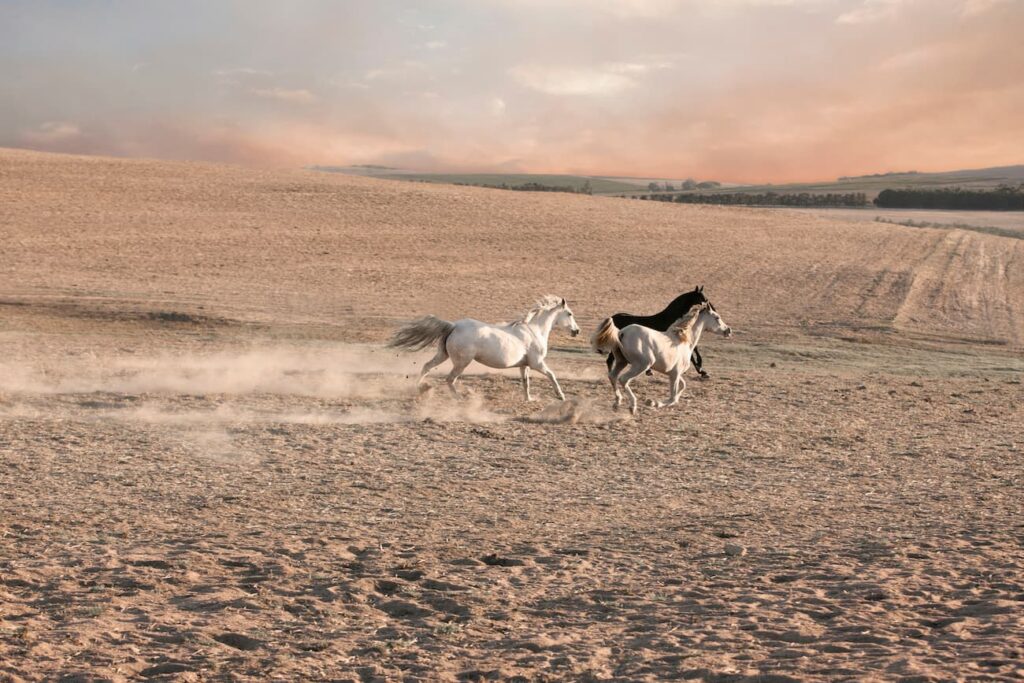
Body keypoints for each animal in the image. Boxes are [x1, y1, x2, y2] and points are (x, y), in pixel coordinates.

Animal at [388, 295, 581, 401]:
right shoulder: (537, 364)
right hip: (462, 362)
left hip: (443, 355)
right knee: (450, 379)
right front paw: (561, 396)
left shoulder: (524, 365)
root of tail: (454, 326)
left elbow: (526, 383)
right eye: (569, 313)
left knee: (427, 367)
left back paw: (418, 388)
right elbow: (552, 375)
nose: (576, 331)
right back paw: (459, 398)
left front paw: (529, 399)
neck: (534, 331)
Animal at [592, 302, 731, 415]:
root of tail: (621, 333)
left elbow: (683, 386)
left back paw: (617, 403)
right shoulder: (675, 374)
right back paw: (632, 406)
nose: (728, 330)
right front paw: (653, 403)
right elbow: (673, 398)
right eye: (717, 317)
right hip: (642, 365)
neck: (683, 340)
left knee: (613, 376)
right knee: (623, 379)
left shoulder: (674, 373)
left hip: (622, 362)